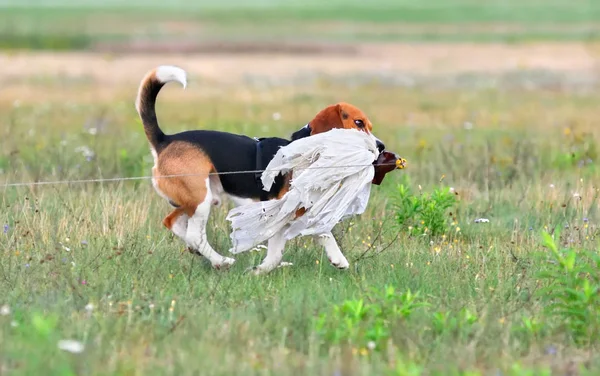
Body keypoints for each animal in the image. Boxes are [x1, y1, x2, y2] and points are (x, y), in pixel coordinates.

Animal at [134, 65, 386, 274]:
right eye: (358, 123)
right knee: (194, 235)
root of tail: (165, 140)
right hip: (200, 198)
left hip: (201, 197)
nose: (381, 147)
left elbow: (310, 238)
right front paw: (260, 271)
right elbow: (292, 246)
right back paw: (222, 261)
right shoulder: (281, 213)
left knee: (174, 223)